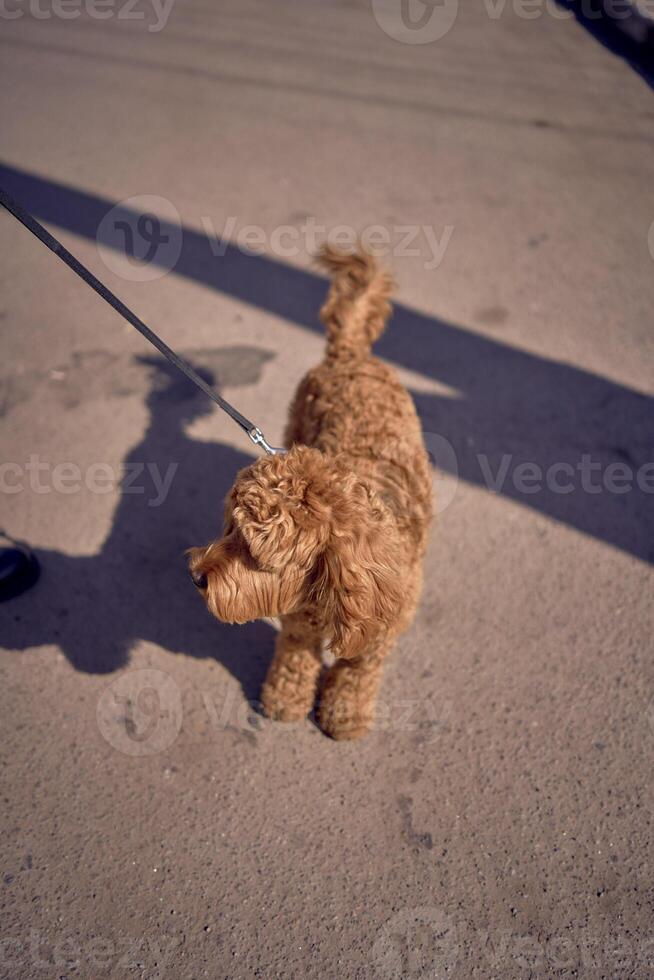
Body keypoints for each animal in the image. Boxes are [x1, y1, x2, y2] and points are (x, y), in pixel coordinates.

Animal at [190, 243, 434, 736]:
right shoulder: (298, 624)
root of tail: (349, 353)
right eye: (229, 529)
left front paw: (345, 714)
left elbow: (357, 672)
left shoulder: (377, 635)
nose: (197, 576)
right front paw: (285, 701)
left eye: (253, 551)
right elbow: (294, 659)